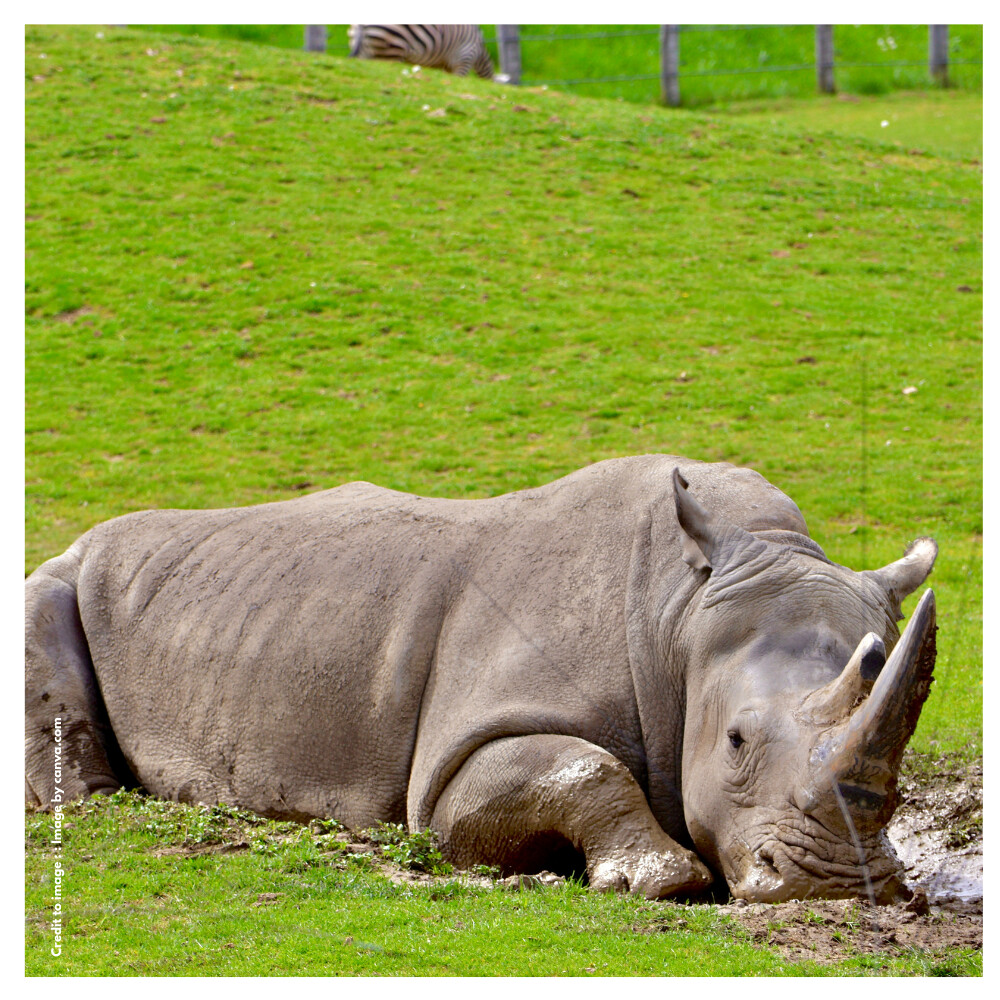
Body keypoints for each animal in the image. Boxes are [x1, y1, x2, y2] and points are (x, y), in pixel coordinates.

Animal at [25, 455, 938, 902]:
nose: (836, 885)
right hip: (64, 571)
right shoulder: (457, 759)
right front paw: (665, 881)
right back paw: (99, 803)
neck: (682, 613)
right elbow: (581, 768)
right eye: (738, 741)